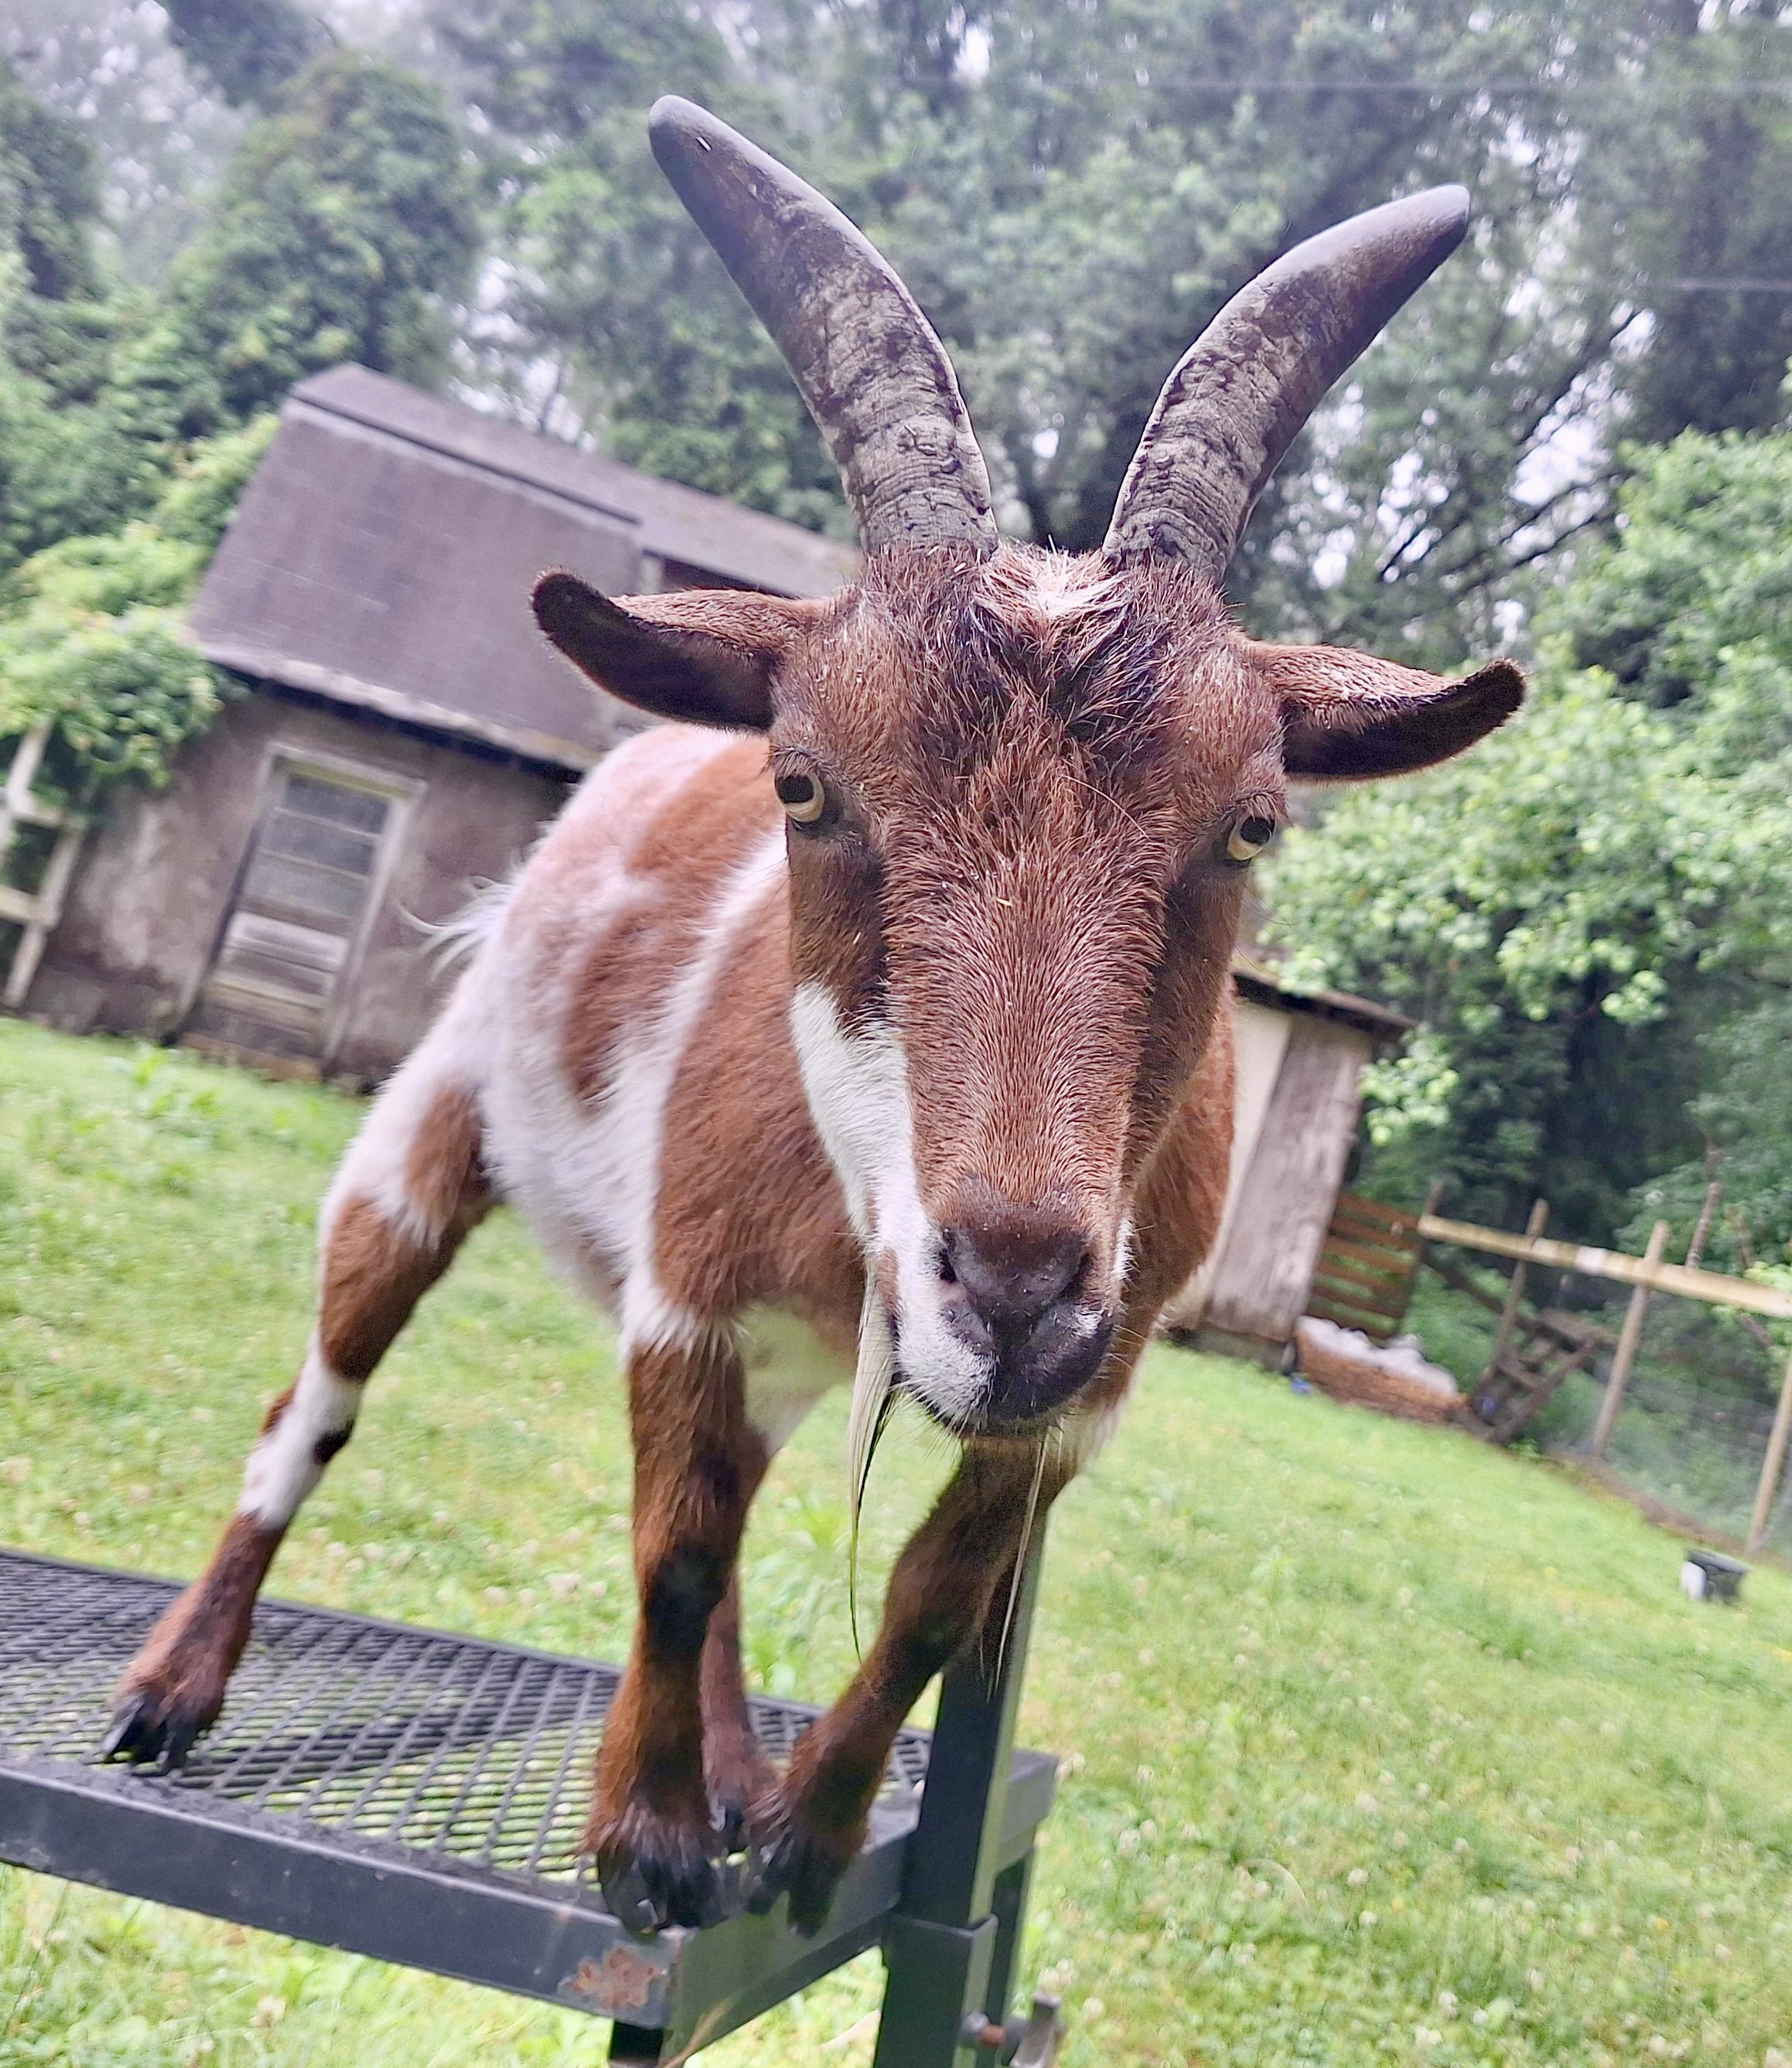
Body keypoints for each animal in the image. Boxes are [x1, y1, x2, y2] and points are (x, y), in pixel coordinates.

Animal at [105, 97, 1522, 1936]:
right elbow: (674, 1550)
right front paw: (643, 1841)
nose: (1009, 1284)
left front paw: (800, 1830)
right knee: (327, 1391)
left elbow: (925, 1593)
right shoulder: (687, 1294)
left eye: (1252, 824)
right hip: (432, 1121)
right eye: (803, 782)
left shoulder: (1082, 1392)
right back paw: (173, 1685)